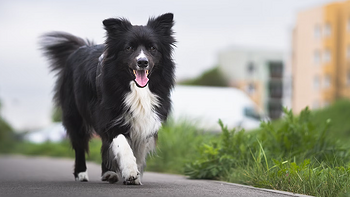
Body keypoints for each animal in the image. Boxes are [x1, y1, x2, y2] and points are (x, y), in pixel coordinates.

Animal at [40, 13, 175, 185]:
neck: (136, 89)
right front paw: (130, 171)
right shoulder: (110, 117)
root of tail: (80, 48)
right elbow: (122, 143)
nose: (142, 62)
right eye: (129, 48)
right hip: (74, 114)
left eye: (152, 48)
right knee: (80, 144)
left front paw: (136, 175)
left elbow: (138, 152)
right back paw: (81, 174)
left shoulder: (147, 121)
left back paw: (108, 173)